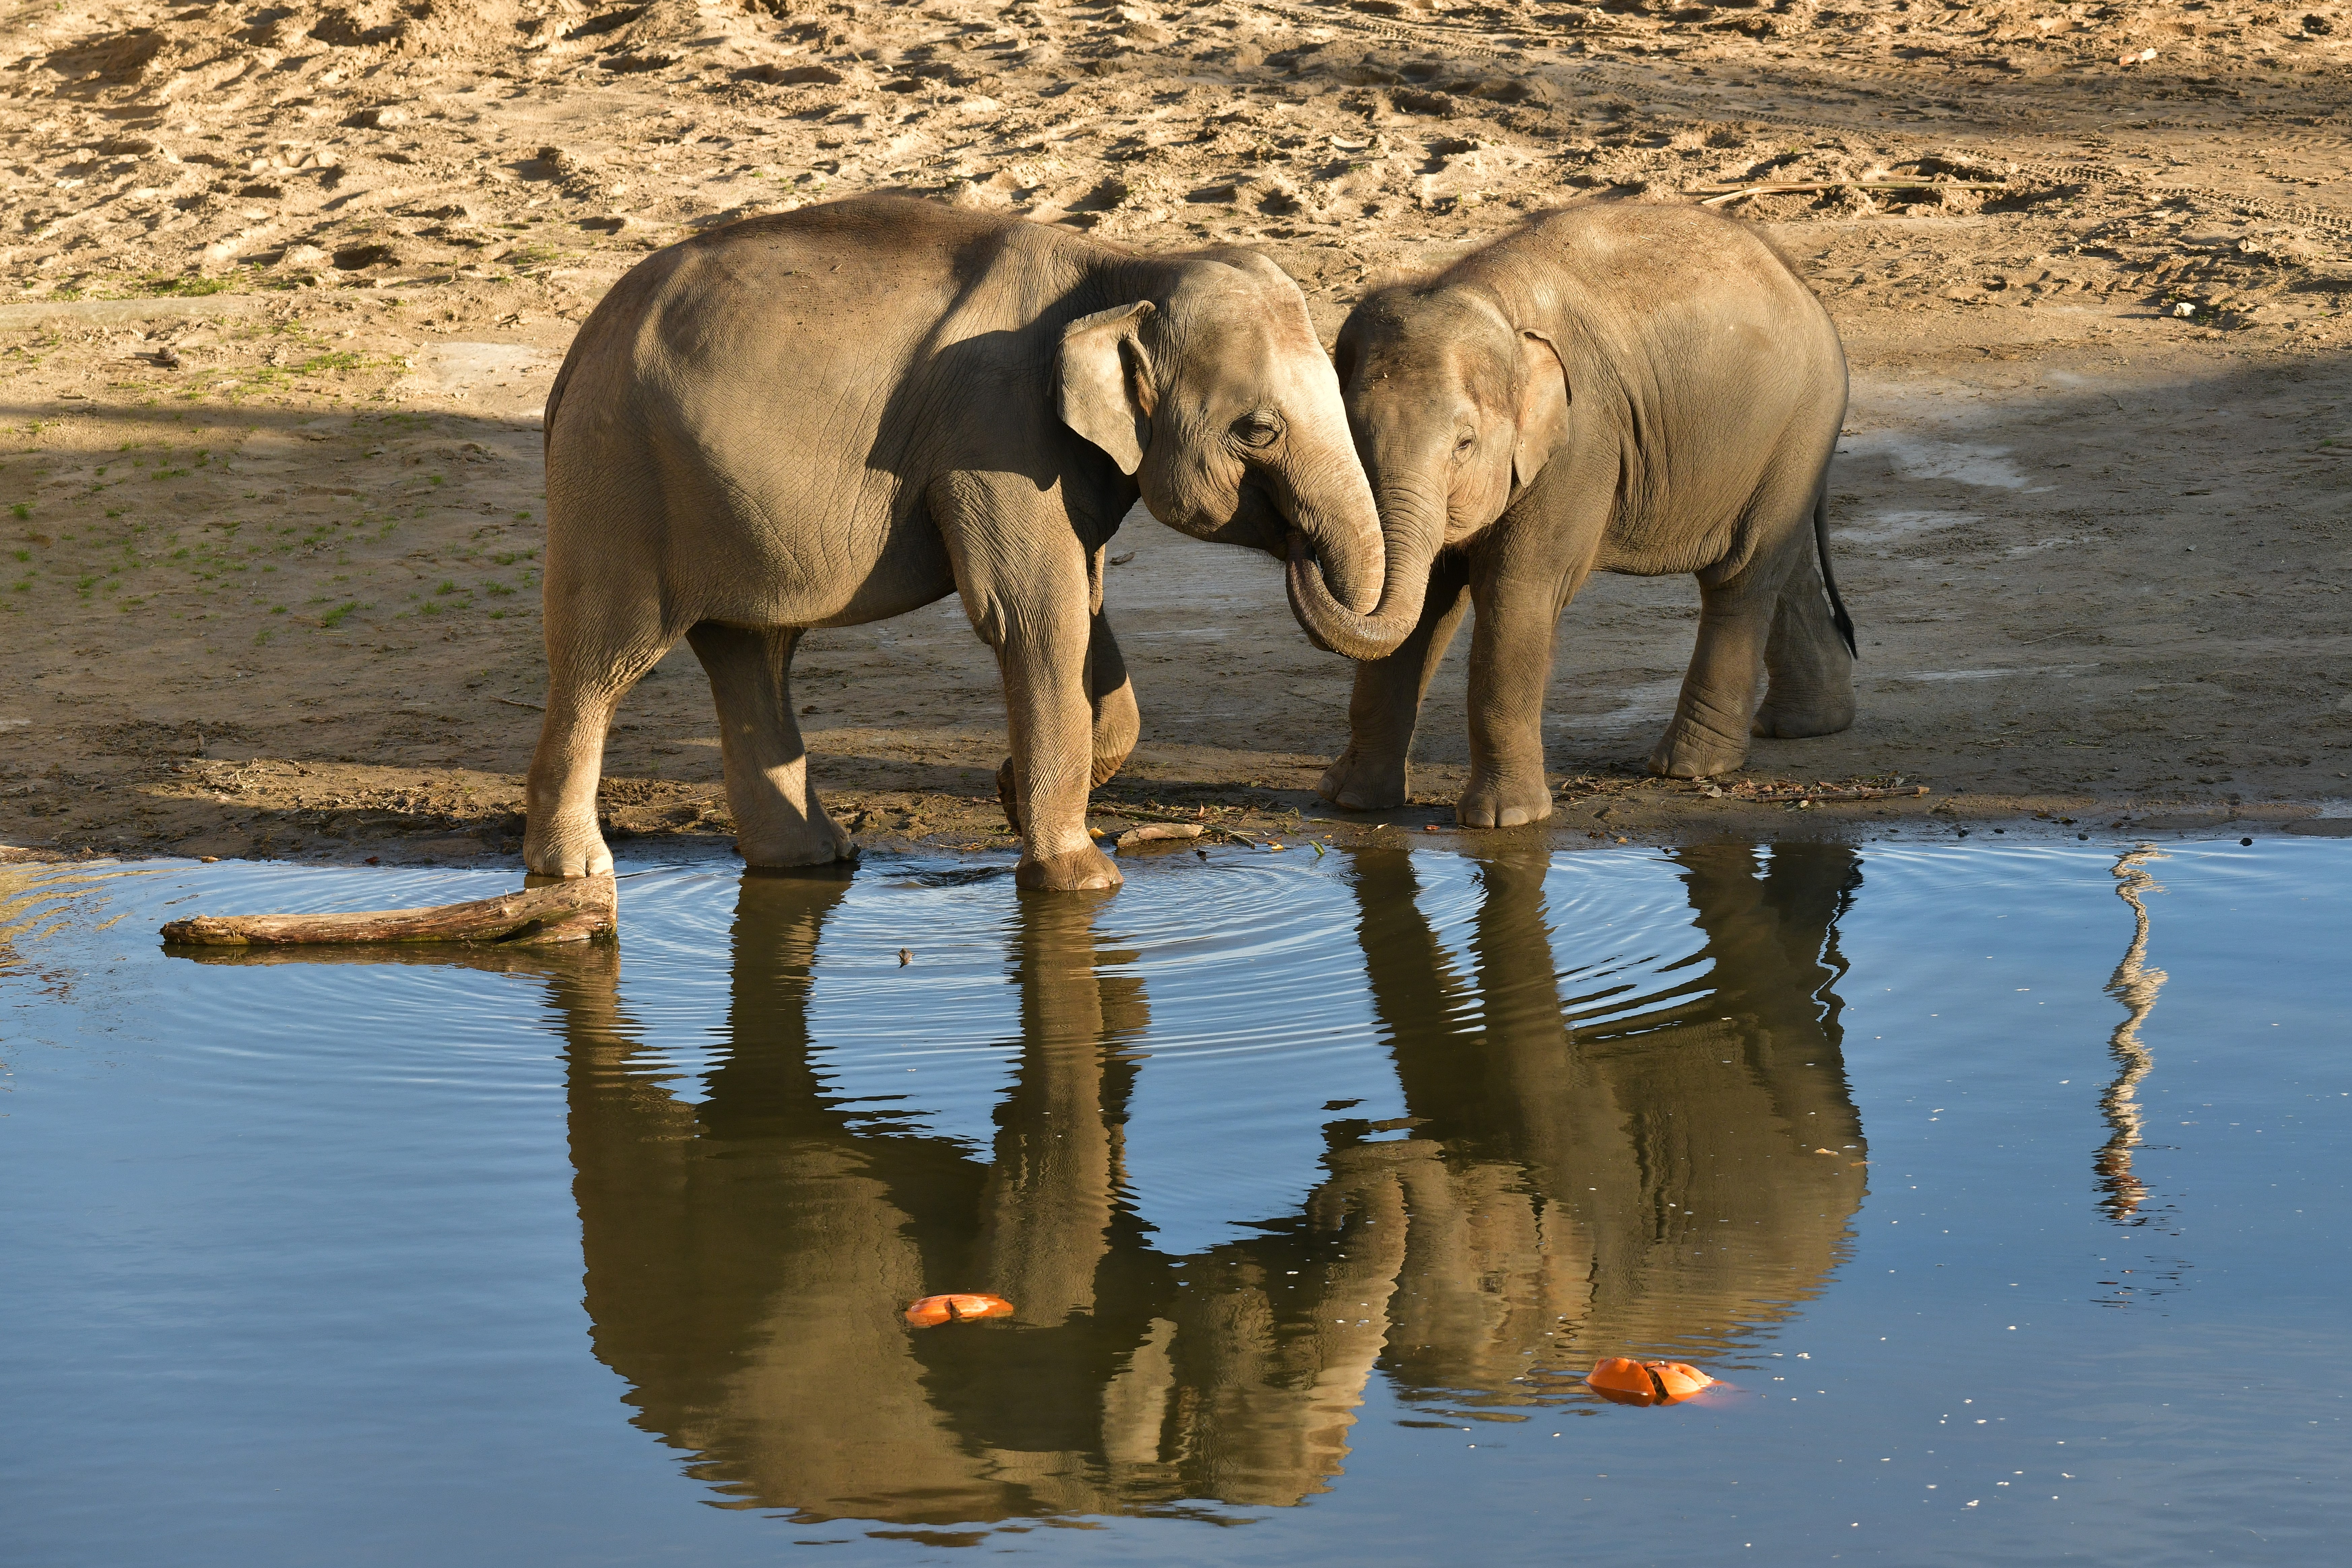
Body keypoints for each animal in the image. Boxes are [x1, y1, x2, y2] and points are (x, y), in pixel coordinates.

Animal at [525, 193, 1394, 891]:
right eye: (1258, 432)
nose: (1299, 547)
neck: (1121, 269)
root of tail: (577, 351)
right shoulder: (995, 430)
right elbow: (1036, 616)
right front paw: (1081, 880)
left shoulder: (1055, 456)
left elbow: (1086, 609)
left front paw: (1013, 792)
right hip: (618, 479)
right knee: (604, 658)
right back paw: (575, 872)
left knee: (752, 654)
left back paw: (813, 860)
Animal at [1296, 201, 1858, 825]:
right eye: (1346, 431)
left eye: (1464, 445)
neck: (1485, 297)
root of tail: (1802, 286)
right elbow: (1425, 608)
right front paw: (1347, 801)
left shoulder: (1580, 443)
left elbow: (1517, 592)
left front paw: (1507, 821)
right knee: (1786, 564)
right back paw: (1804, 726)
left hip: (1797, 422)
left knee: (1741, 576)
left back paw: (1688, 767)